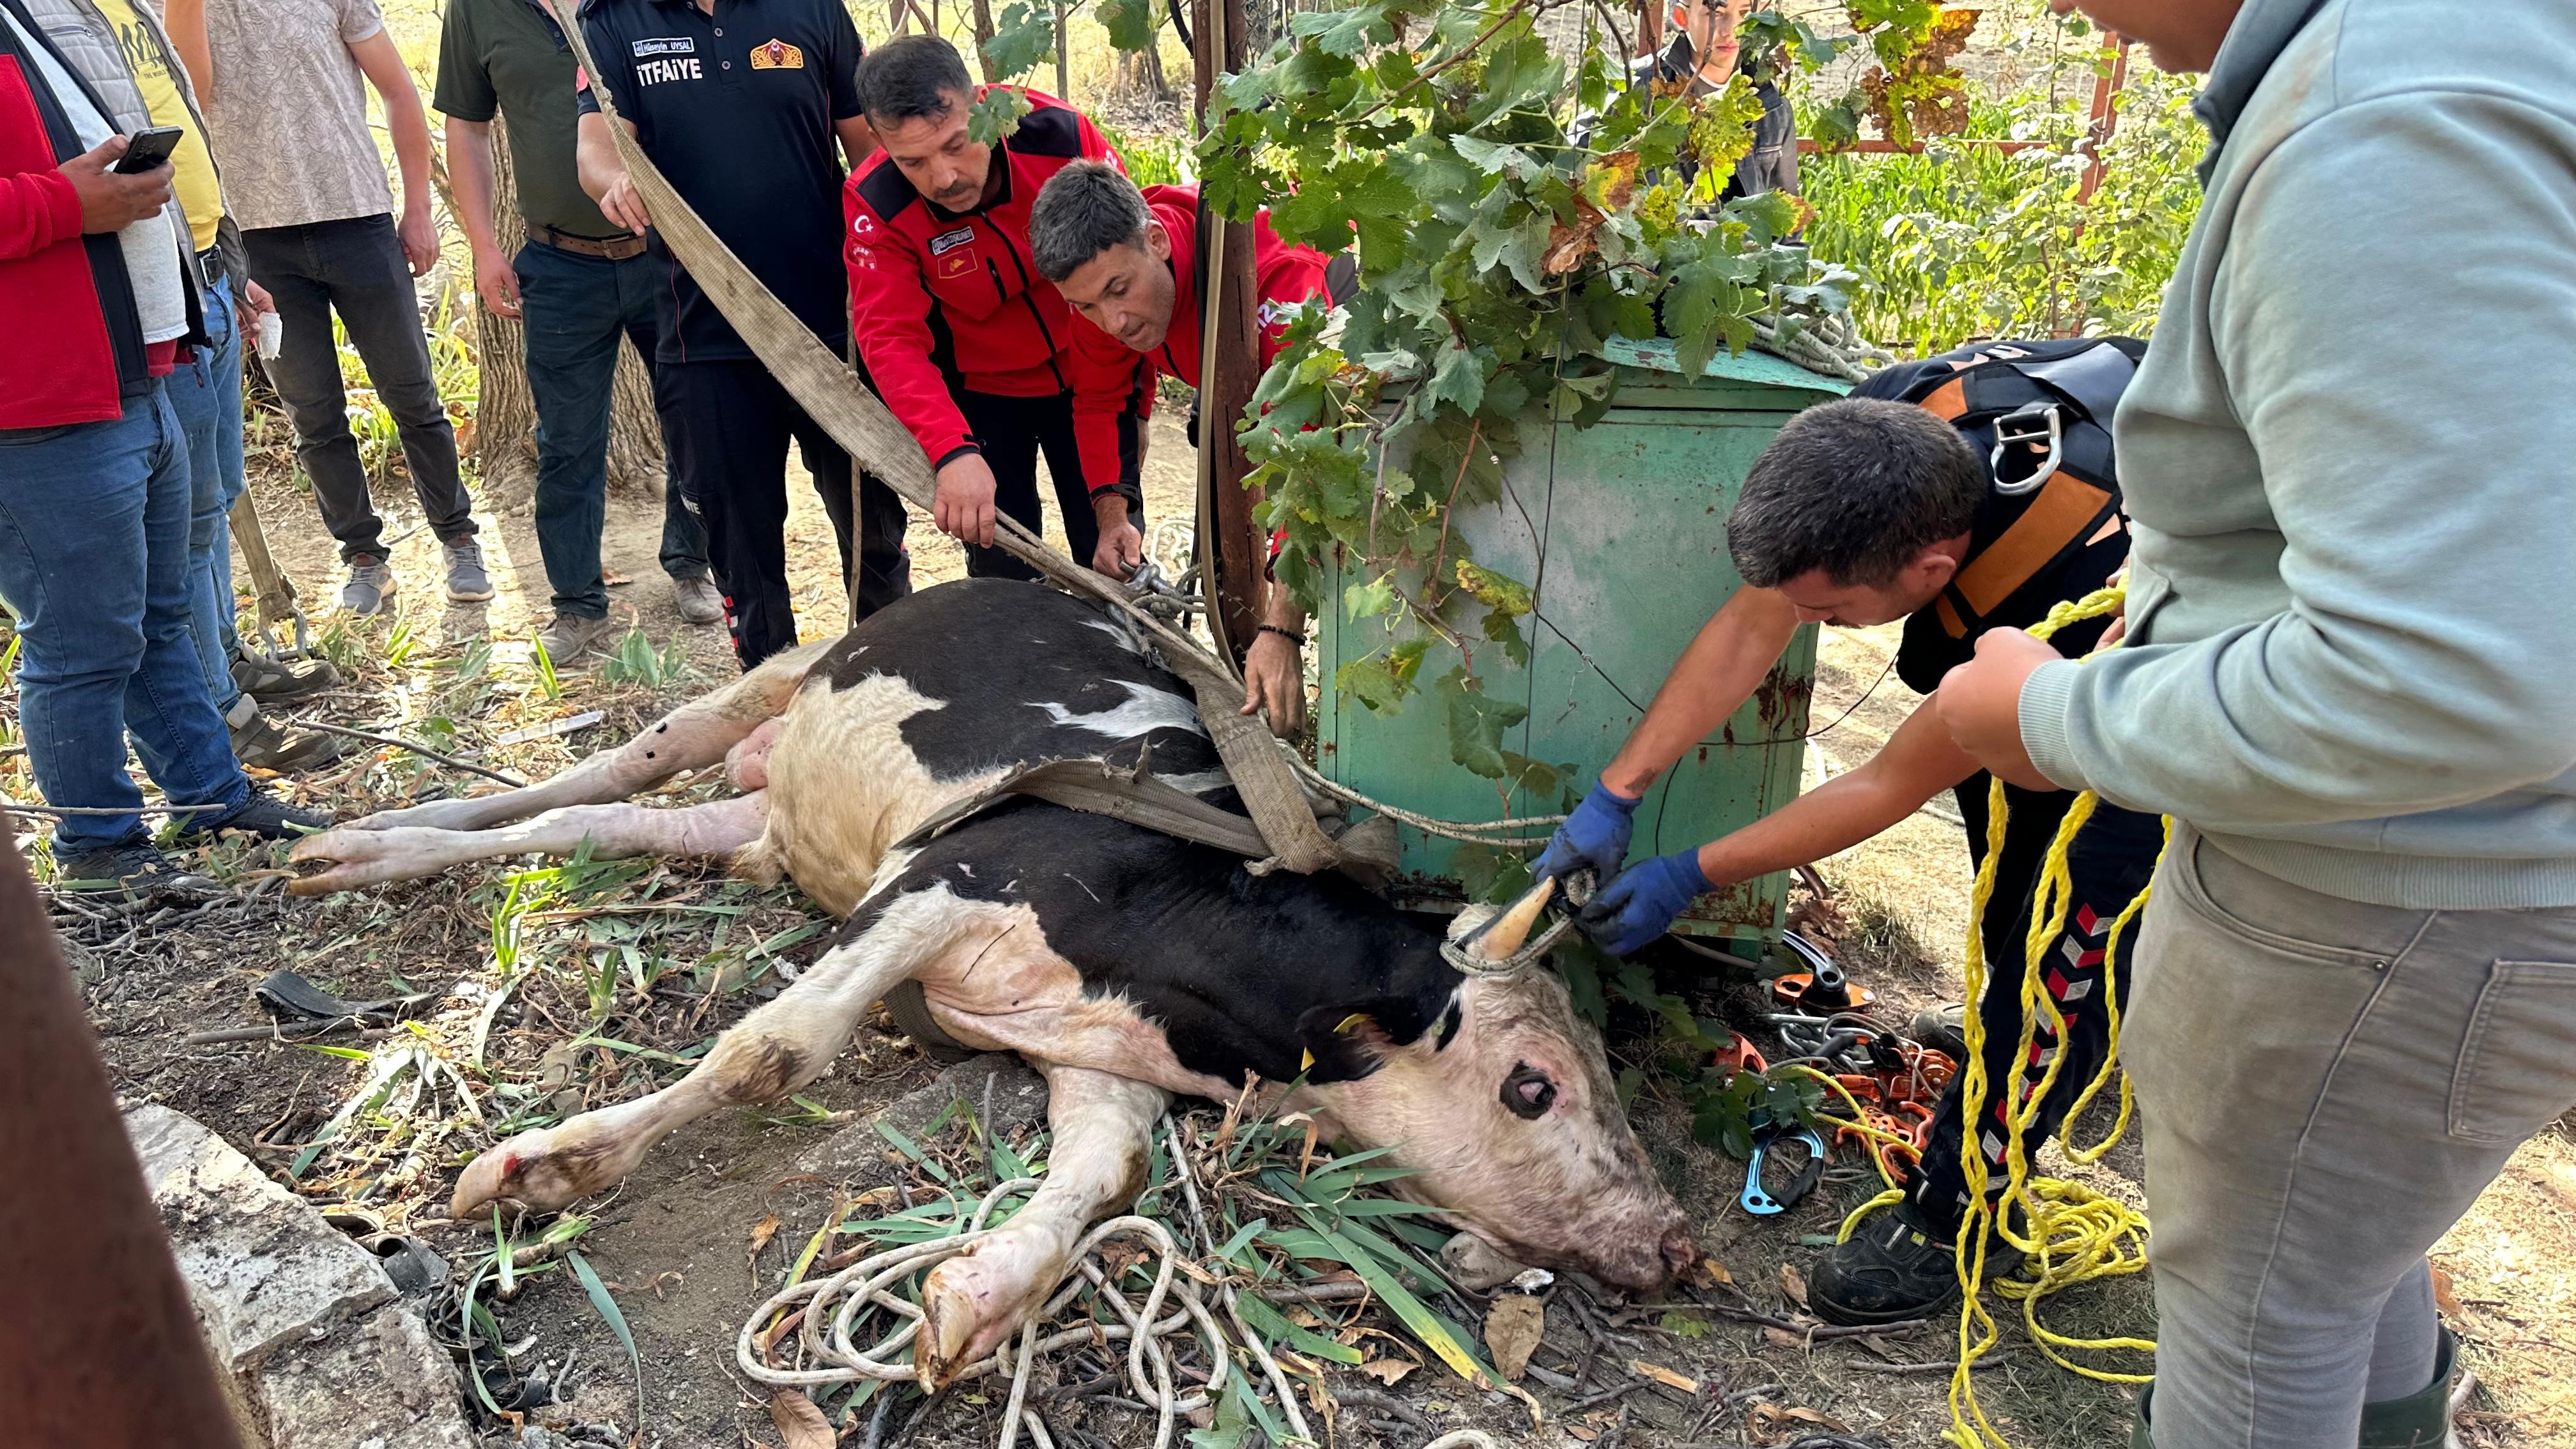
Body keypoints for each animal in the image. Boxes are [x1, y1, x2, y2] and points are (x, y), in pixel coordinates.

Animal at [292, 574, 1700, 1371]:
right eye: (1531, 1086)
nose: (1674, 1239)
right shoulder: (945, 878)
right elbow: (770, 1053)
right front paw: (553, 1165)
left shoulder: (1102, 1053)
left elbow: (1101, 1174)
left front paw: (981, 1289)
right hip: (785, 673)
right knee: (618, 763)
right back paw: (380, 836)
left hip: (771, 821)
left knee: (636, 825)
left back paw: (386, 844)